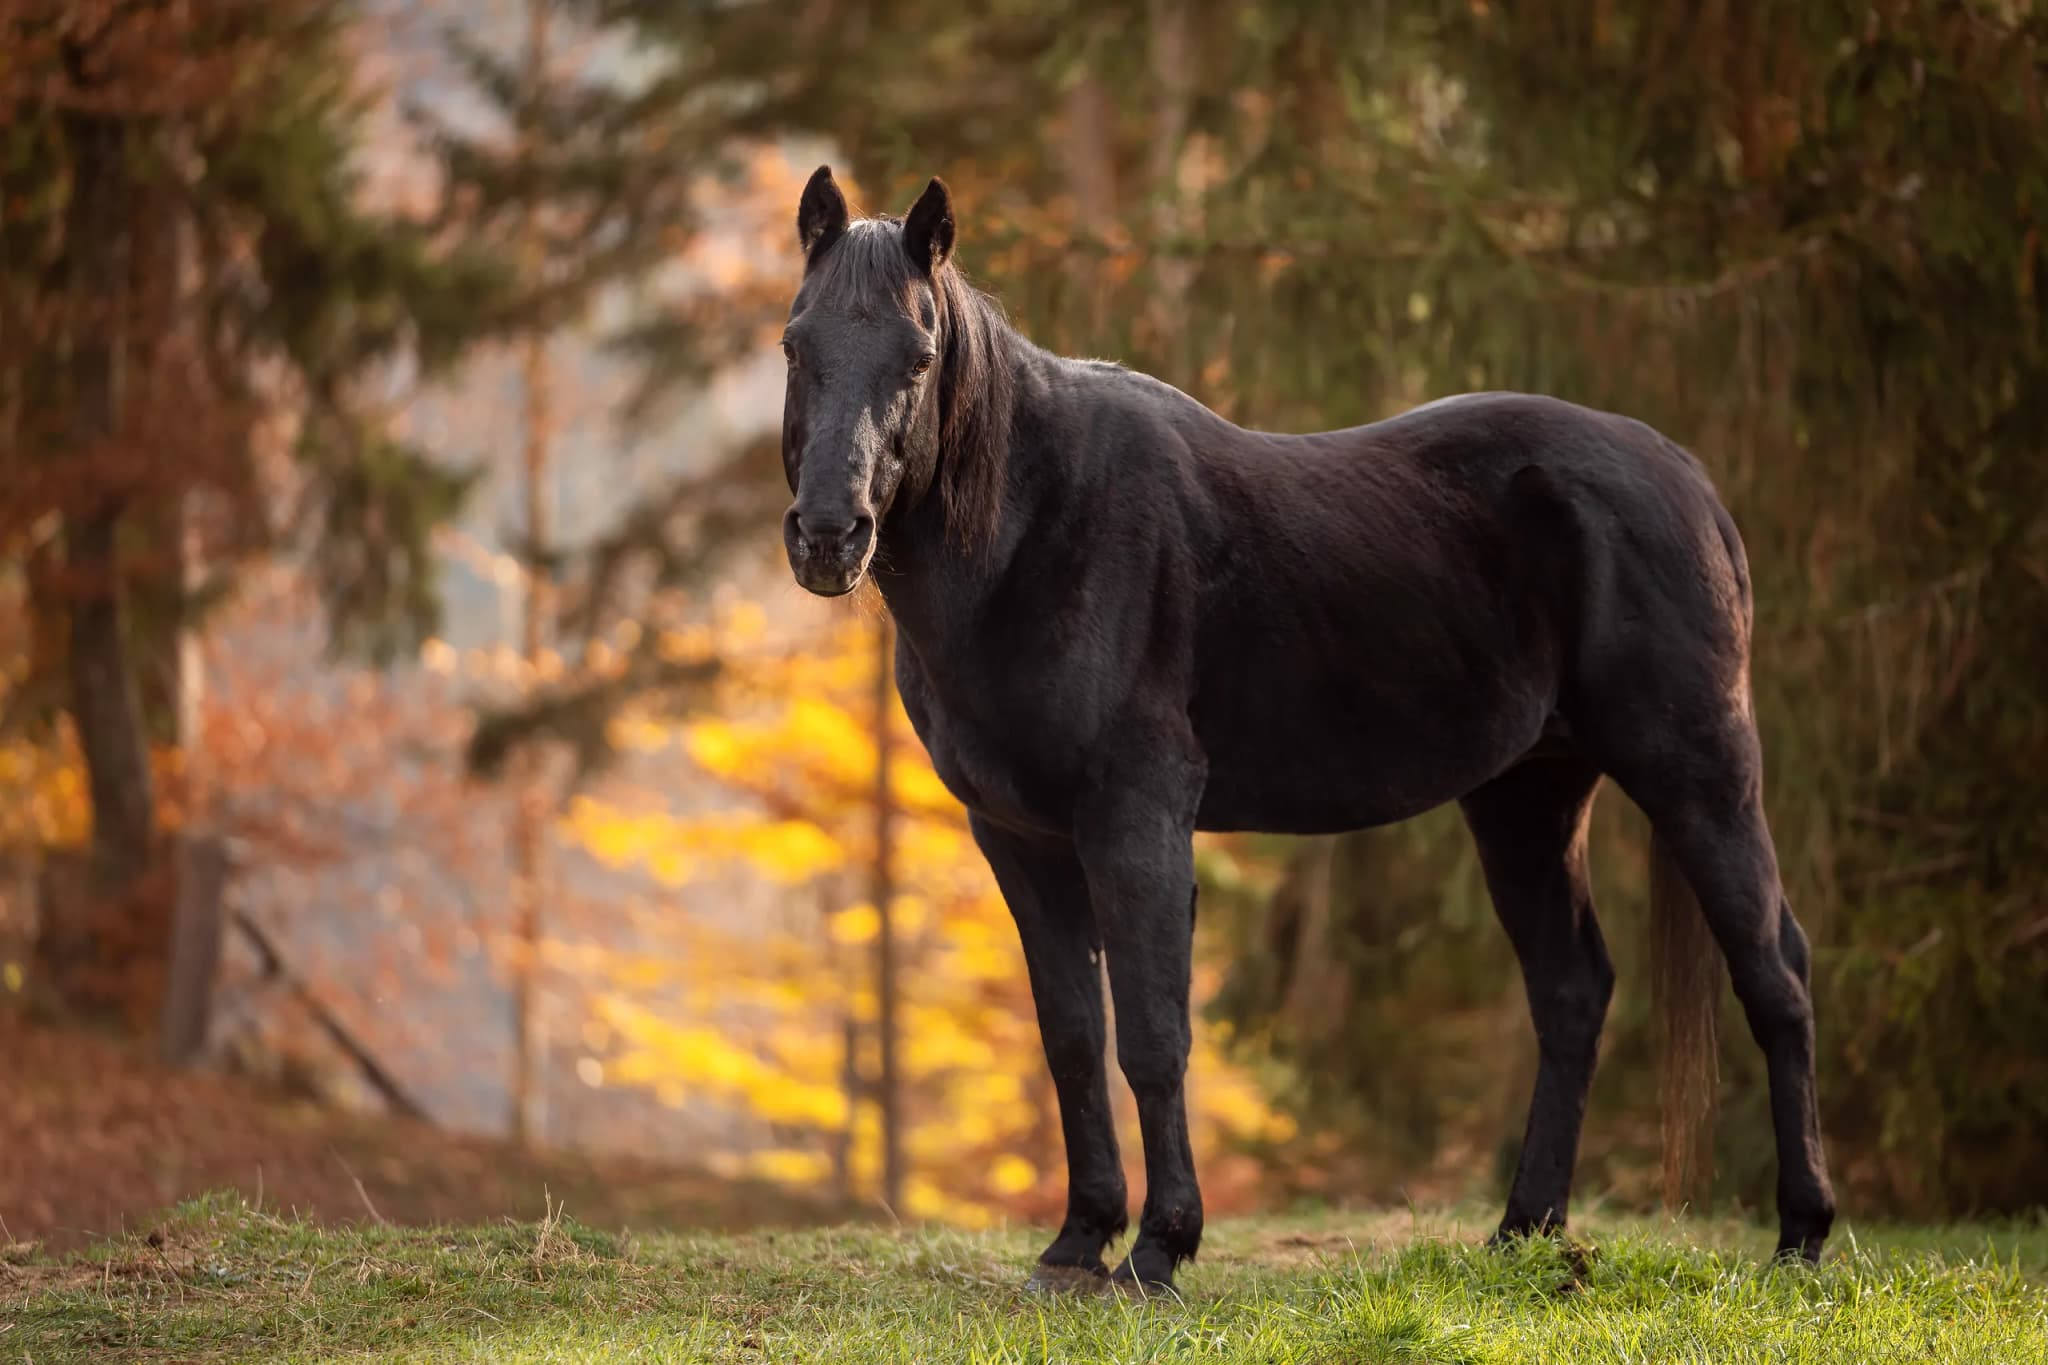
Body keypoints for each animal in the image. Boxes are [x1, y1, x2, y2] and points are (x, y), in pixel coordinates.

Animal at [774, 165, 1835, 1293]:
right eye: (796, 345)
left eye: (919, 356)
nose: (829, 535)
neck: (1038, 527)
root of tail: (1684, 475)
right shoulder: (1020, 838)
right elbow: (1071, 1036)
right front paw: (1075, 1243)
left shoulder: (1135, 819)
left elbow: (1152, 1033)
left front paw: (1159, 1248)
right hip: (1527, 799)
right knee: (1571, 989)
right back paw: (1522, 1231)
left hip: (1698, 773)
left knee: (1774, 973)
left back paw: (1800, 1236)